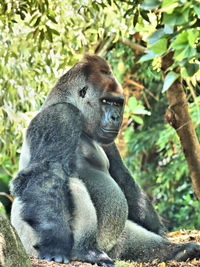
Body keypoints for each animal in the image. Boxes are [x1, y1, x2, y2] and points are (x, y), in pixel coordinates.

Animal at [10, 54, 200, 266]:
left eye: (117, 103)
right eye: (106, 101)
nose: (116, 117)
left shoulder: (107, 139)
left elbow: (123, 178)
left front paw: (159, 228)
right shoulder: (61, 115)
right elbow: (46, 173)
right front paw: (55, 242)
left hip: (115, 243)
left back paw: (176, 251)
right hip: (28, 242)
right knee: (71, 183)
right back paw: (85, 251)